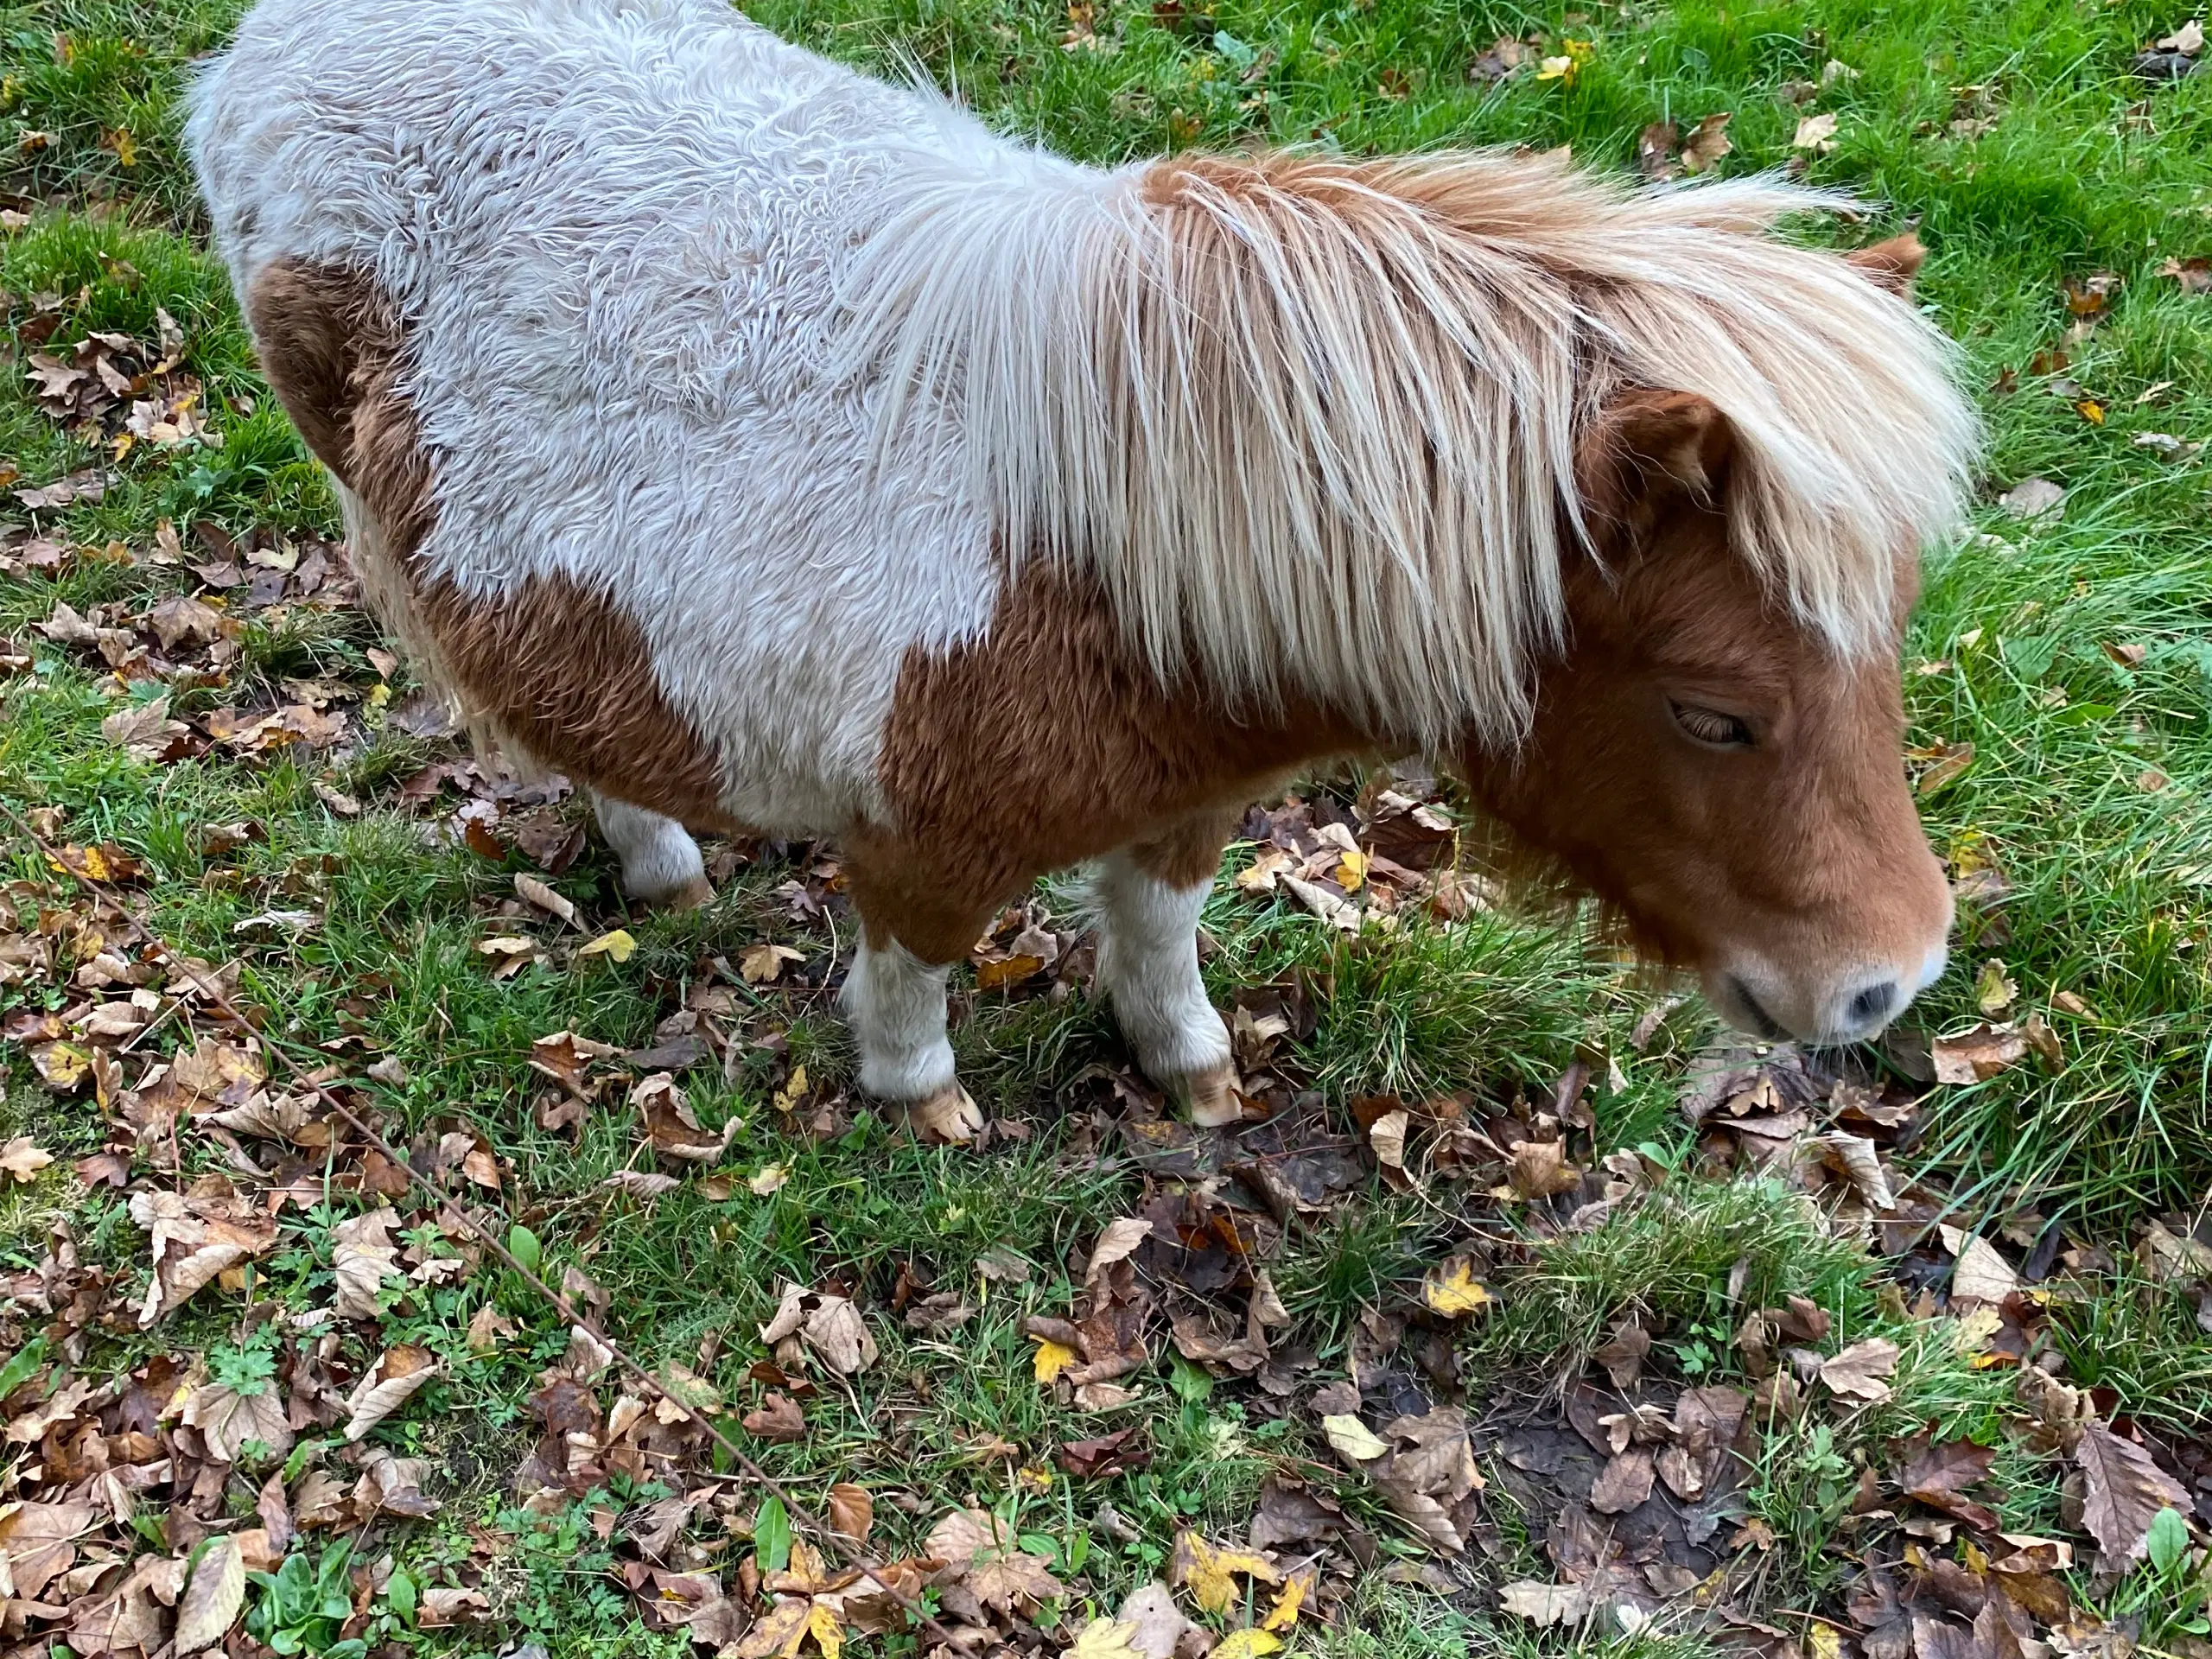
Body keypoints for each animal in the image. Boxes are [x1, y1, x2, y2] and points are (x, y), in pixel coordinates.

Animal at [186, 0, 1973, 1141]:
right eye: (1717, 711)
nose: (1890, 987)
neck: (1106, 535)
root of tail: (259, 56)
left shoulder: (1182, 796)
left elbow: (1159, 922)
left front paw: (1186, 1067)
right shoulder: (923, 833)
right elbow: (913, 966)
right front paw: (921, 1101)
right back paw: (660, 863)